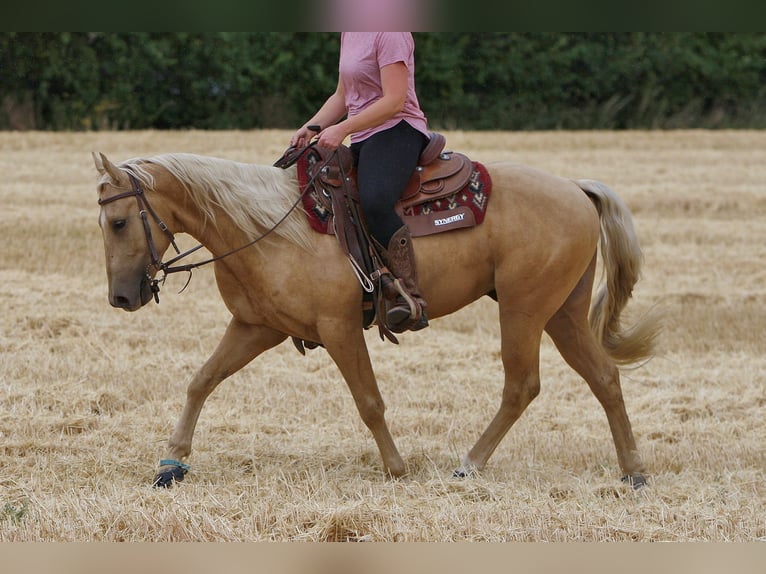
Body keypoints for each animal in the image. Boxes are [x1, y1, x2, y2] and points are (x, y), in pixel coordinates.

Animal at [93, 148, 660, 488]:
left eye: (118, 222)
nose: (120, 297)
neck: (269, 230)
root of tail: (575, 188)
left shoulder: (339, 328)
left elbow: (368, 402)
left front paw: (396, 468)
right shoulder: (258, 328)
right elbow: (201, 380)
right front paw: (172, 462)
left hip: (524, 309)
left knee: (522, 385)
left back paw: (469, 464)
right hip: (562, 313)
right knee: (604, 378)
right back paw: (632, 471)